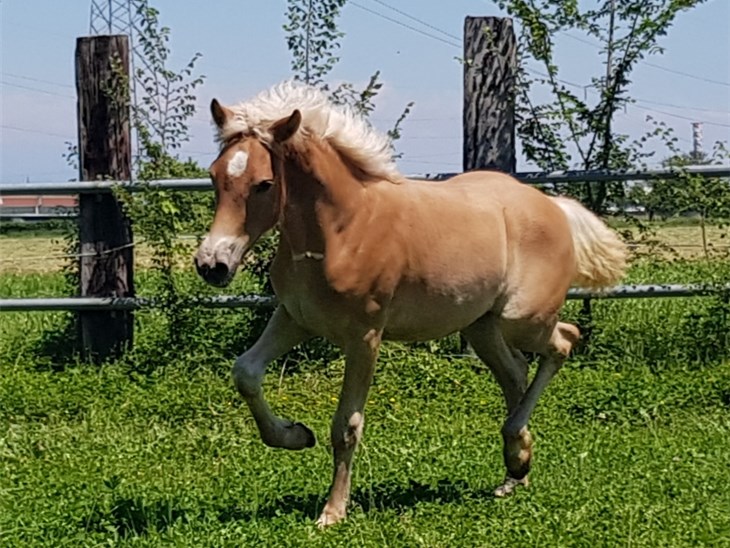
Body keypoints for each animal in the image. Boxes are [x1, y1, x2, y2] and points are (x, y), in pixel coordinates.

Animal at [194, 81, 627, 527]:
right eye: (214, 176)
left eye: (264, 183)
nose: (212, 265)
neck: (342, 230)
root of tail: (554, 206)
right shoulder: (295, 318)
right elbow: (246, 372)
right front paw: (295, 435)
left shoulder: (364, 336)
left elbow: (346, 425)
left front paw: (333, 512)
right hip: (481, 325)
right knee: (515, 371)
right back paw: (516, 468)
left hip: (522, 318)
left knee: (564, 340)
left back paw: (516, 450)